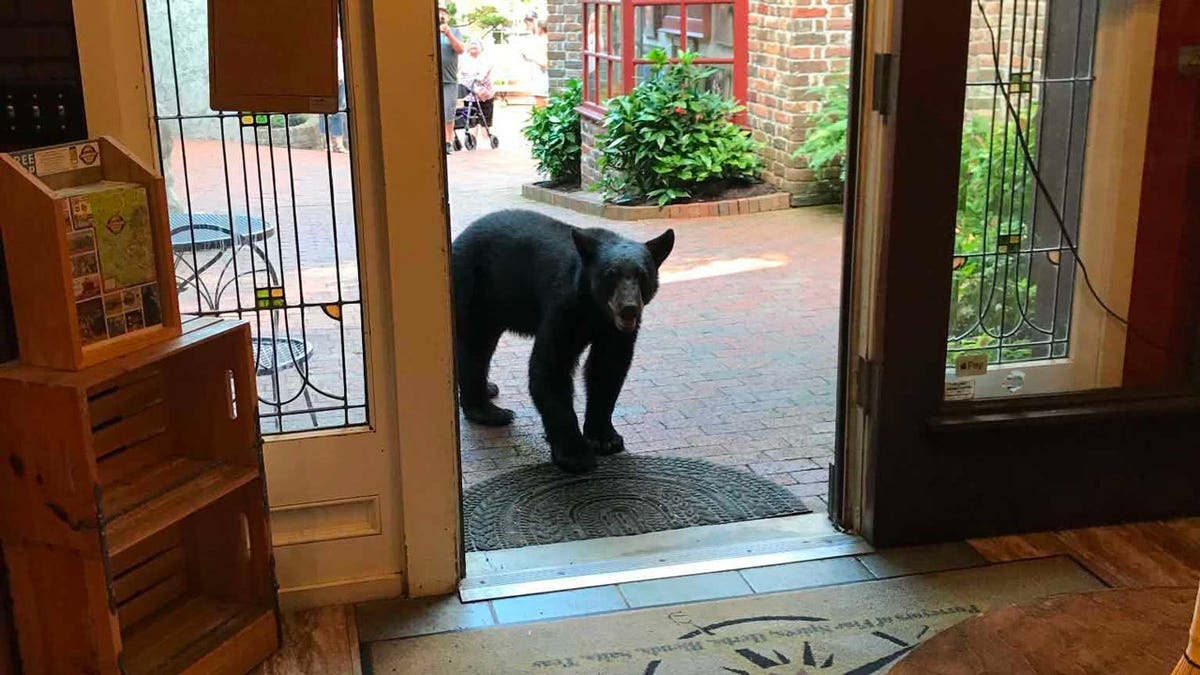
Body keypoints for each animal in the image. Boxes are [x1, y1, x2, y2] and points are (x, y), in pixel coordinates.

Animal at [451, 209, 675, 474]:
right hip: (476, 287)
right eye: (610, 275)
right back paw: (489, 411)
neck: (594, 310)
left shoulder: (613, 331)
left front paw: (605, 438)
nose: (629, 308)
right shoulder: (564, 308)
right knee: (475, 346)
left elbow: (607, 368)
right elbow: (550, 368)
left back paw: (489, 388)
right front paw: (575, 454)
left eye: (642, 275)